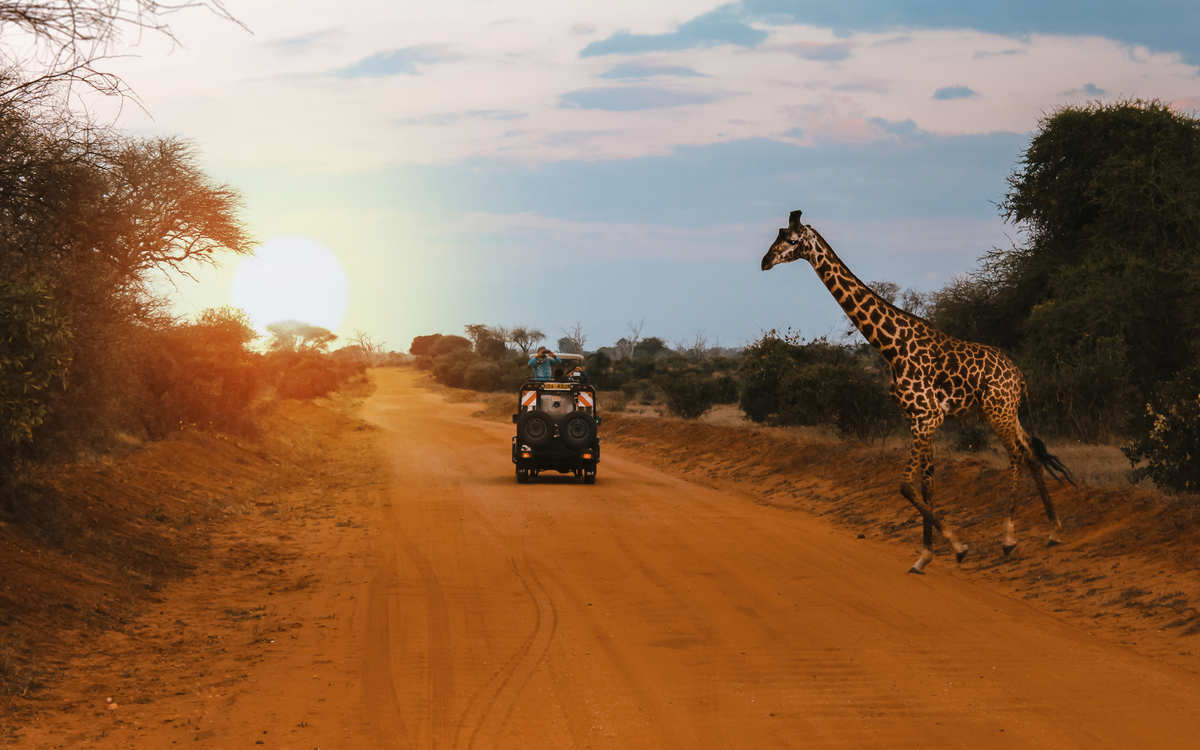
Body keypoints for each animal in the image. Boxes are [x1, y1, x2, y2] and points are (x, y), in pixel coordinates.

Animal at [761, 210, 1072, 574]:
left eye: (791, 239)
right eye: (778, 234)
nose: (765, 261)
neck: (891, 346)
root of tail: (1019, 375)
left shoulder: (929, 416)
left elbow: (907, 485)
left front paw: (958, 547)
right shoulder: (916, 418)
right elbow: (927, 486)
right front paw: (925, 556)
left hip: (998, 411)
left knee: (1018, 456)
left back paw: (1010, 539)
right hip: (1005, 411)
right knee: (1032, 453)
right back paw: (1053, 532)